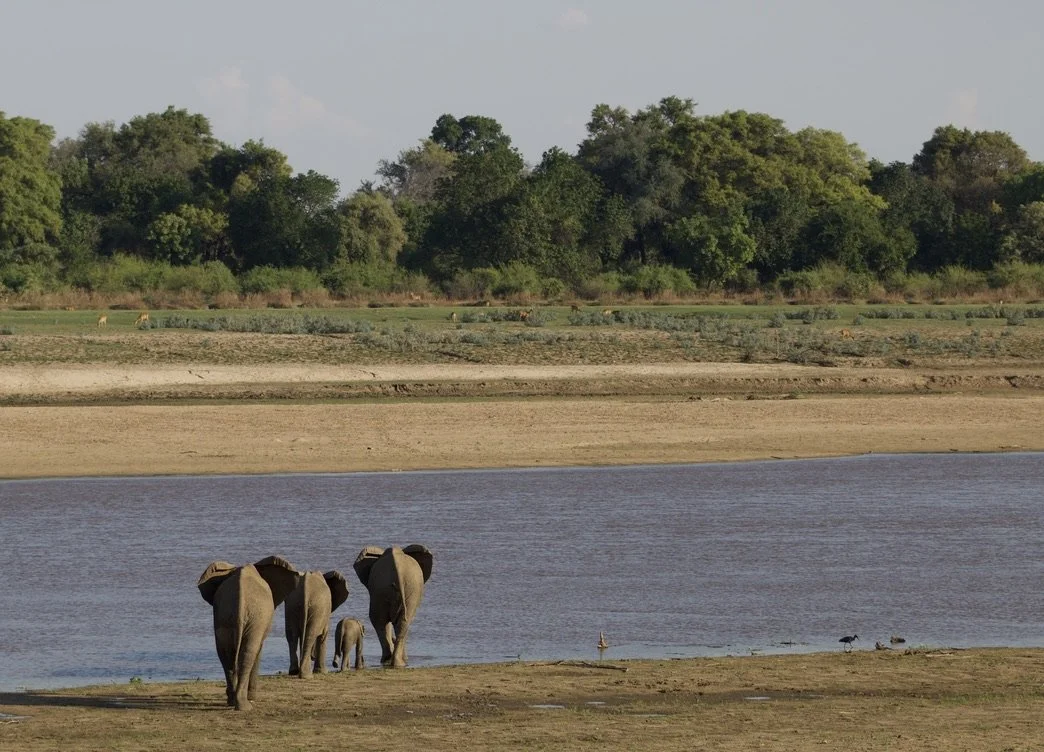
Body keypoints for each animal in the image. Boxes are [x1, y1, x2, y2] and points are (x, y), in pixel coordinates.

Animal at [197, 555, 300, 711]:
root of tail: (241, 599)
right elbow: (259, 649)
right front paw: (252, 697)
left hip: (224, 616)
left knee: (225, 651)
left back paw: (232, 701)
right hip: (254, 618)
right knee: (249, 651)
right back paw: (244, 705)